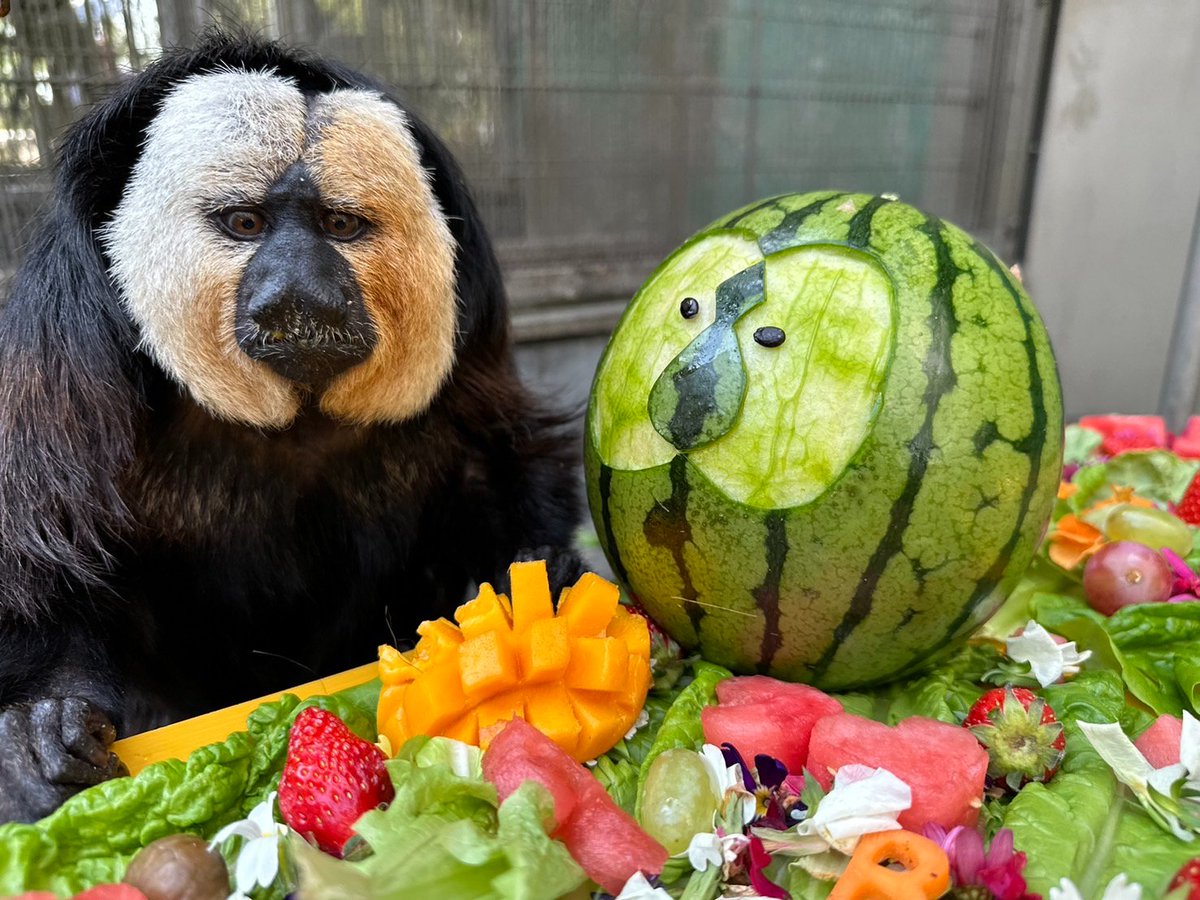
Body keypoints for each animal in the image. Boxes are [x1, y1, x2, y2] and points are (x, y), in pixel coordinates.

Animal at [0, 33, 585, 825]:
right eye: (246, 224)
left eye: (340, 225)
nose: (301, 288)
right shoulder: (61, 345)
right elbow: (43, 555)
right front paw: (42, 727)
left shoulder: (475, 333)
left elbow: (499, 460)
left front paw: (536, 575)